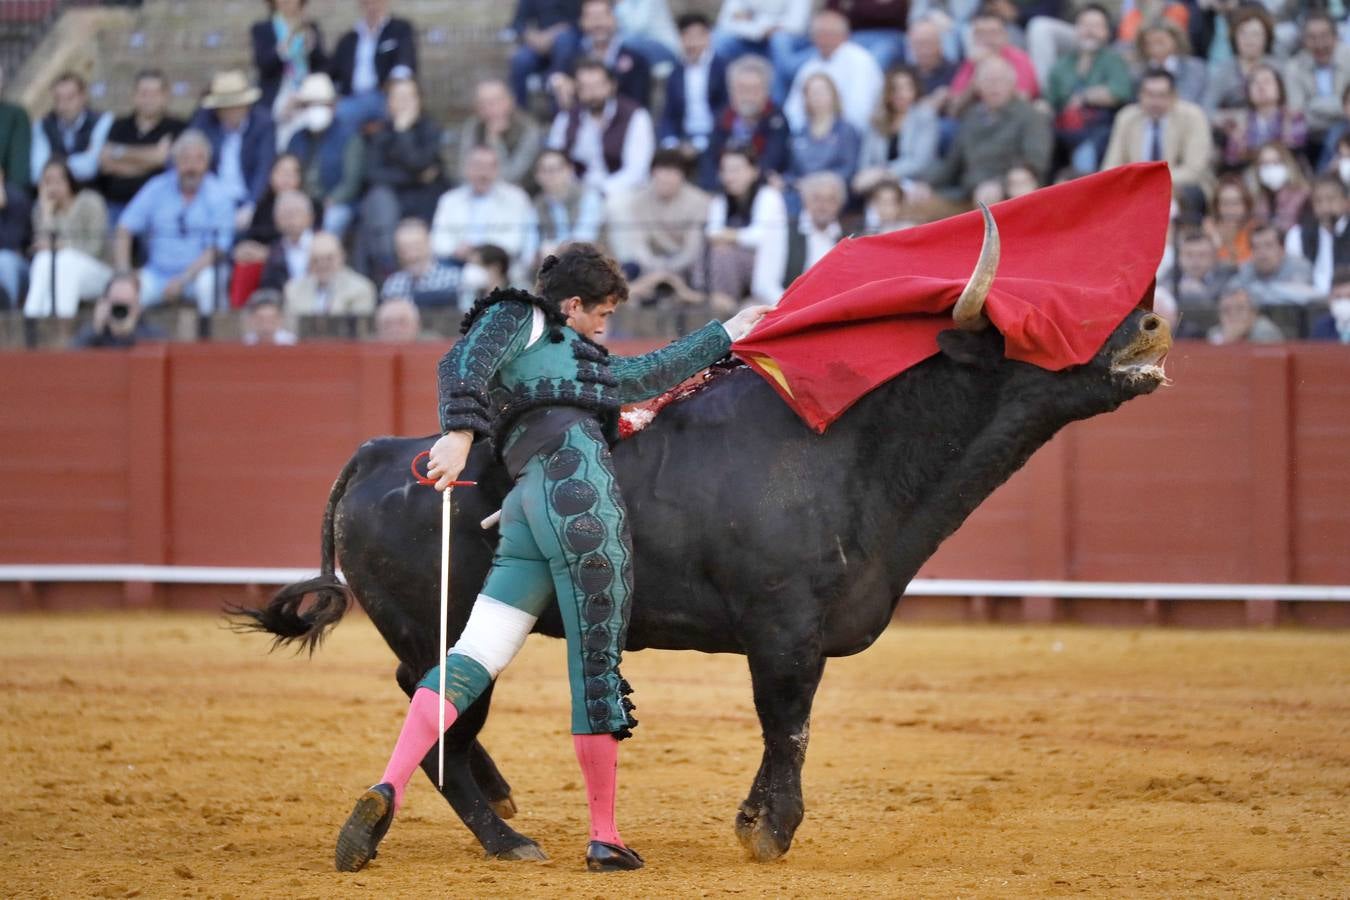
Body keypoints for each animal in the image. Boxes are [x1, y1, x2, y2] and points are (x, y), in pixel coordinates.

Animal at [232, 207, 1171, 863]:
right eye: (1037, 326)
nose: (1153, 321)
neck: (851, 444)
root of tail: (382, 452)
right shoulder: (784, 627)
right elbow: (788, 723)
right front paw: (770, 832)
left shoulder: (798, 634)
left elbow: (784, 726)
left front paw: (755, 820)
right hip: (436, 613)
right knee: (442, 700)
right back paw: (497, 835)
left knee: (436, 693)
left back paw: (486, 805)